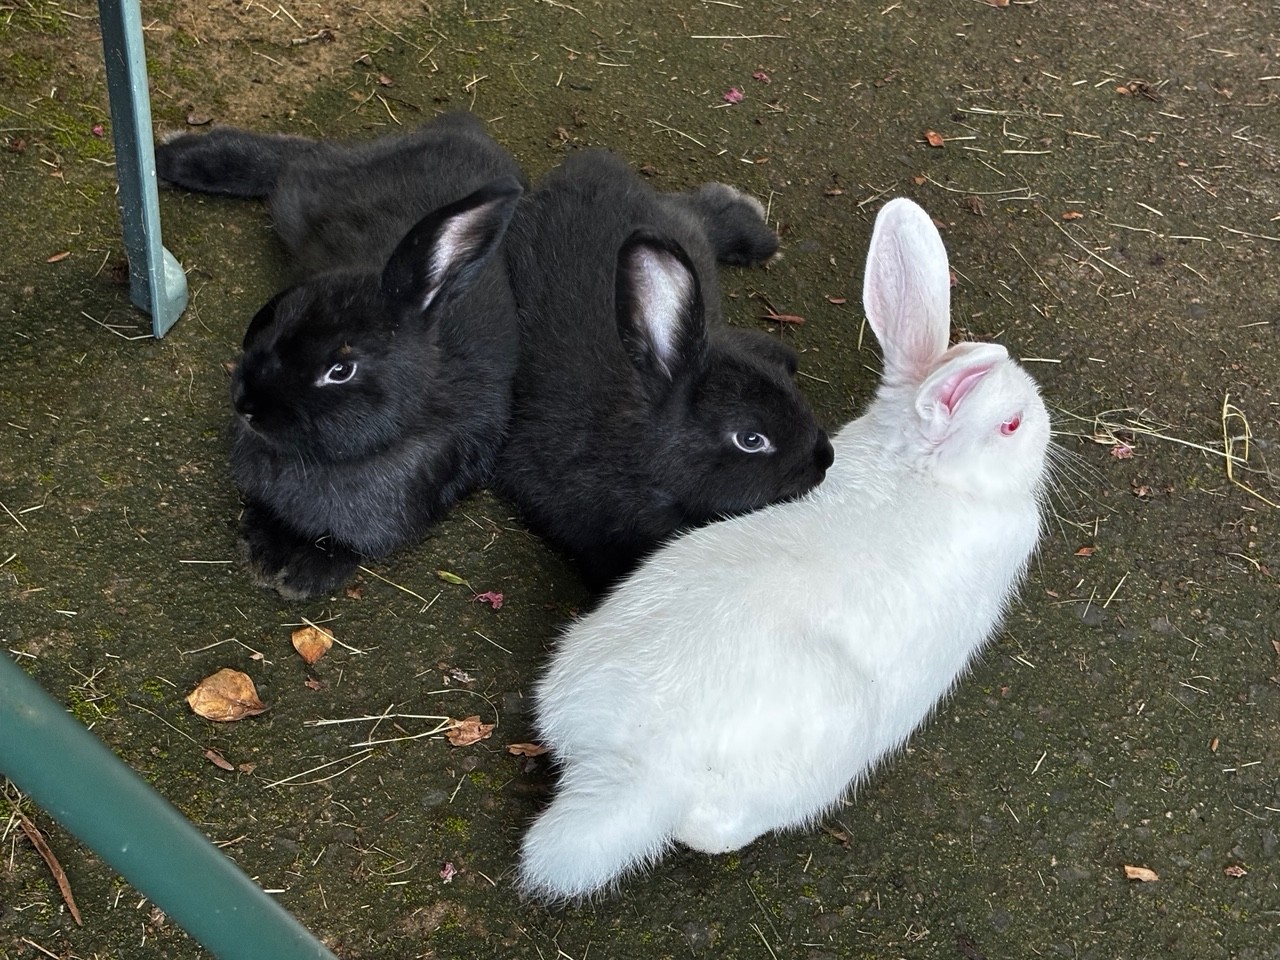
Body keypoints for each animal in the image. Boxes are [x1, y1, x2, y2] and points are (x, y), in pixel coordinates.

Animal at [155, 113, 524, 598]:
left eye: (341, 369)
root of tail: (466, 131)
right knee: (302, 159)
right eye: (281, 317)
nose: (247, 405)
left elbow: (343, 545)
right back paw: (174, 156)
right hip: (310, 198)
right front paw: (266, 551)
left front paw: (300, 572)